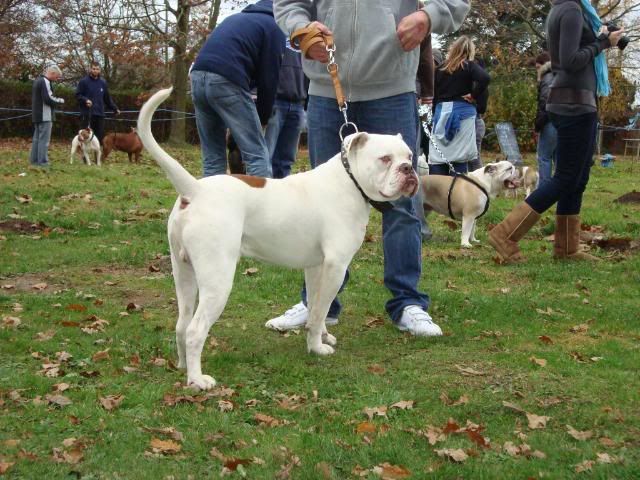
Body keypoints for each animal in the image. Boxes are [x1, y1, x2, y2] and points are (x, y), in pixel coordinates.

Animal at [137, 88, 419, 390]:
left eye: (409, 155)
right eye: (385, 159)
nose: (408, 169)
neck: (350, 181)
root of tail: (196, 189)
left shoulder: (316, 266)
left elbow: (317, 307)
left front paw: (321, 336)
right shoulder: (336, 266)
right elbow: (320, 309)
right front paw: (316, 347)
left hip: (184, 273)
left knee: (181, 324)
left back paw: (182, 366)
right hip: (217, 279)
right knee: (195, 329)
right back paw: (198, 379)